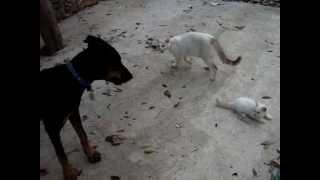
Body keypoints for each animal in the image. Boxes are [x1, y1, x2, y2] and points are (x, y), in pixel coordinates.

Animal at [40, 35, 132, 180]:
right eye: (115, 61)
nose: (131, 76)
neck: (72, 78)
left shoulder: (73, 113)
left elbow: (82, 134)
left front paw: (90, 154)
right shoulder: (51, 127)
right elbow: (61, 153)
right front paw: (68, 173)